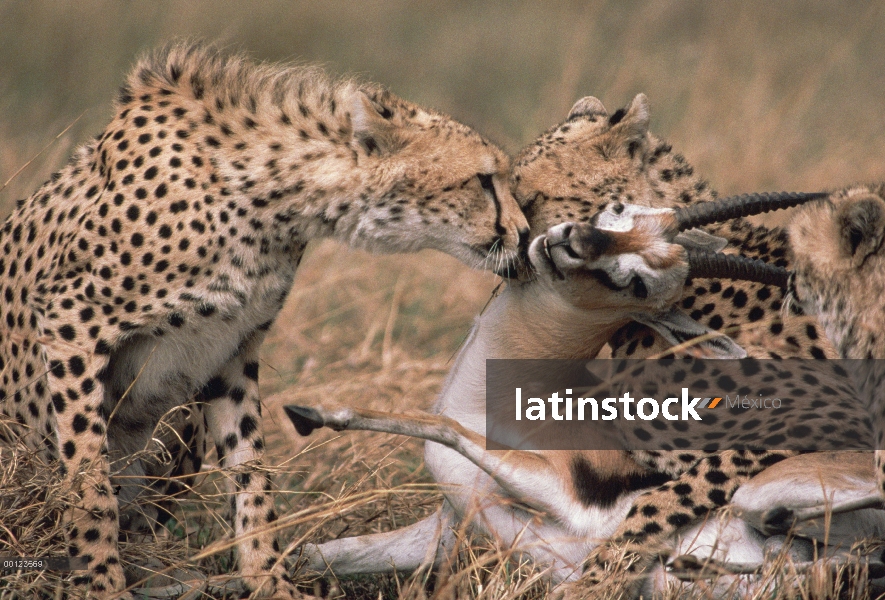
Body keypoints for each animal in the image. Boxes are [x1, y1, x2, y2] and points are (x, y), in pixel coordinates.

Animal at [0, 39, 524, 596]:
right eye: (484, 180)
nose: (522, 230)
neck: (273, 198)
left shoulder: (230, 348)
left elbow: (252, 471)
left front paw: (268, 578)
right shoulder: (71, 322)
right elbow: (88, 474)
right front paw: (101, 582)